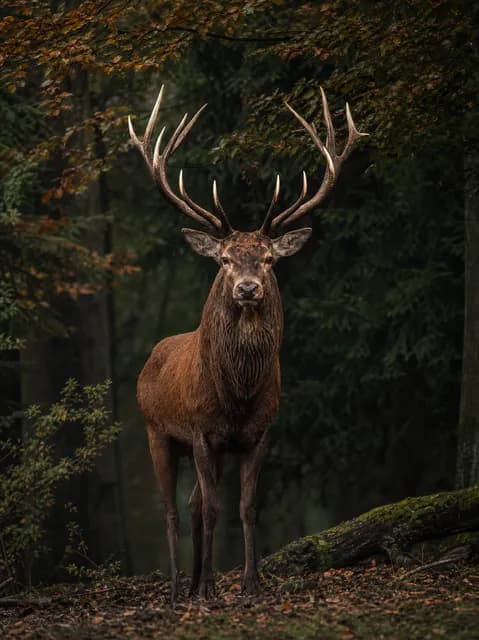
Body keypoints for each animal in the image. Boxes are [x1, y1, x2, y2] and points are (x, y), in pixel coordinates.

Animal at [128, 85, 367, 602]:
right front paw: (210, 589)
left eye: (270, 259)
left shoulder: (260, 432)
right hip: (156, 431)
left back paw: (193, 581)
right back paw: (178, 586)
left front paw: (249, 583)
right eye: (222, 259)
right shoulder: (201, 431)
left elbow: (245, 507)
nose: (247, 287)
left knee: (193, 503)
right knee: (173, 509)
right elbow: (214, 508)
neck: (237, 393)